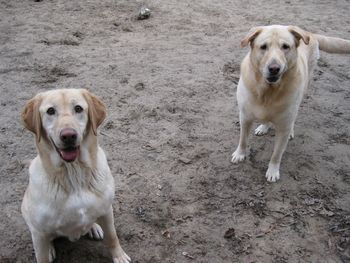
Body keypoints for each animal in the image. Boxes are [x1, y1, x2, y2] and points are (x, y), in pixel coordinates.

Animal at [21, 89, 131, 263]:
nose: (68, 135)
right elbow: (42, 256)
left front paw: (119, 256)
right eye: (50, 111)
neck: (74, 175)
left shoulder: (107, 210)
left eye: (78, 108)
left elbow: (112, 237)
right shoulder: (39, 232)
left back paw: (94, 227)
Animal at [231, 25, 348, 184]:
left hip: (303, 90)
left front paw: (273, 171)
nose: (274, 68)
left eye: (285, 47)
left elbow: (277, 154)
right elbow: (243, 139)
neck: (268, 92)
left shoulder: (283, 127)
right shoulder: (245, 117)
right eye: (263, 47)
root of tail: (309, 33)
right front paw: (240, 154)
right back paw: (263, 127)